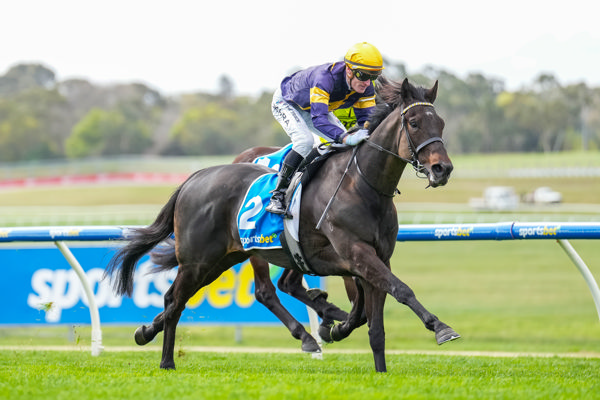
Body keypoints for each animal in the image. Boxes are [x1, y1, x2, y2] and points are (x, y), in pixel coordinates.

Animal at [104, 77, 460, 372]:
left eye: (441, 122)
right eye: (414, 122)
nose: (442, 169)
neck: (362, 184)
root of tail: (193, 178)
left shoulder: (373, 257)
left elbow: (373, 318)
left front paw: (359, 347)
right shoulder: (354, 254)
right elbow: (399, 289)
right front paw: (441, 327)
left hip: (225, 258)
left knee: (186, 298)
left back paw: (146, 332)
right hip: (204, 259)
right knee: (191, 298)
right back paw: (167, 361)